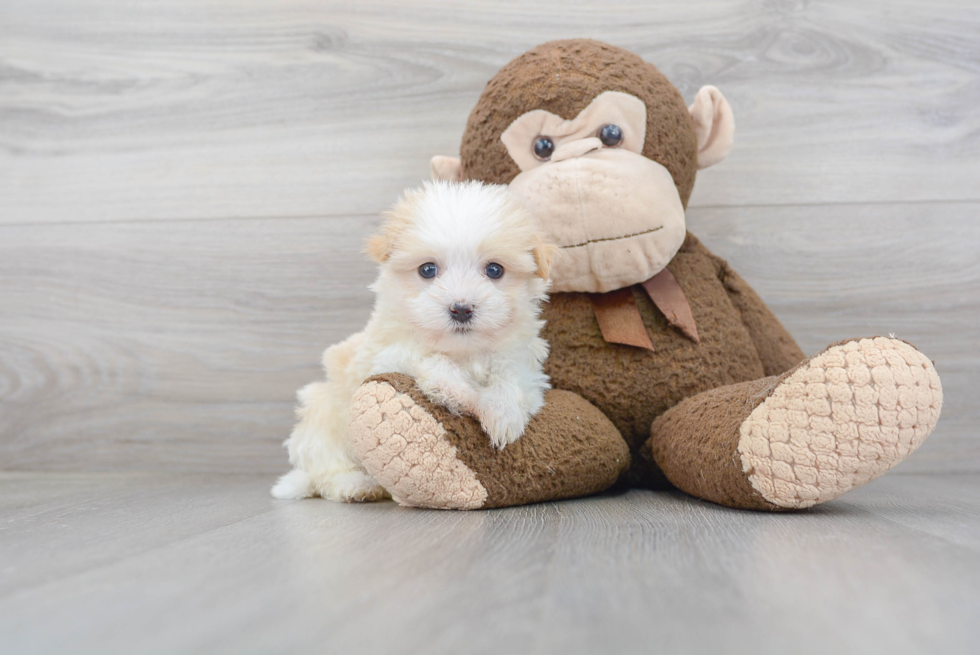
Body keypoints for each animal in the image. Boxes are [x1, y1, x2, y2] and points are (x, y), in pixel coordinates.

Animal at [272, 181, 556, 502]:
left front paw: (501, 414)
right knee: (326, 474)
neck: (463, 351)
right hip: (324, 421)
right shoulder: (385, 355)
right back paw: (357, 485)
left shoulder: (522, 364)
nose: (461, 309)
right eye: (427, 269)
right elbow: (427, 359)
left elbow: (510, 382)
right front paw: (456, 391)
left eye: (494, 270)